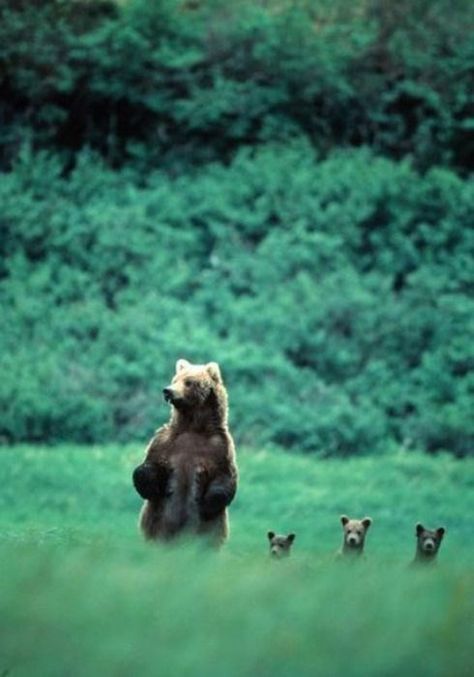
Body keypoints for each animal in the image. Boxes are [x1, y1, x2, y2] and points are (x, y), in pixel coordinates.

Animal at [131, 360, 237, 544]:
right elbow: (151, 464)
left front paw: (208, 502)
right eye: (174, 379)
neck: (193, 426)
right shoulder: (165, 441)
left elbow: (225, 477)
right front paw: (147, 480)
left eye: (188, 382)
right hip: (157, 526)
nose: (167, 390)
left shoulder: (220, 447)